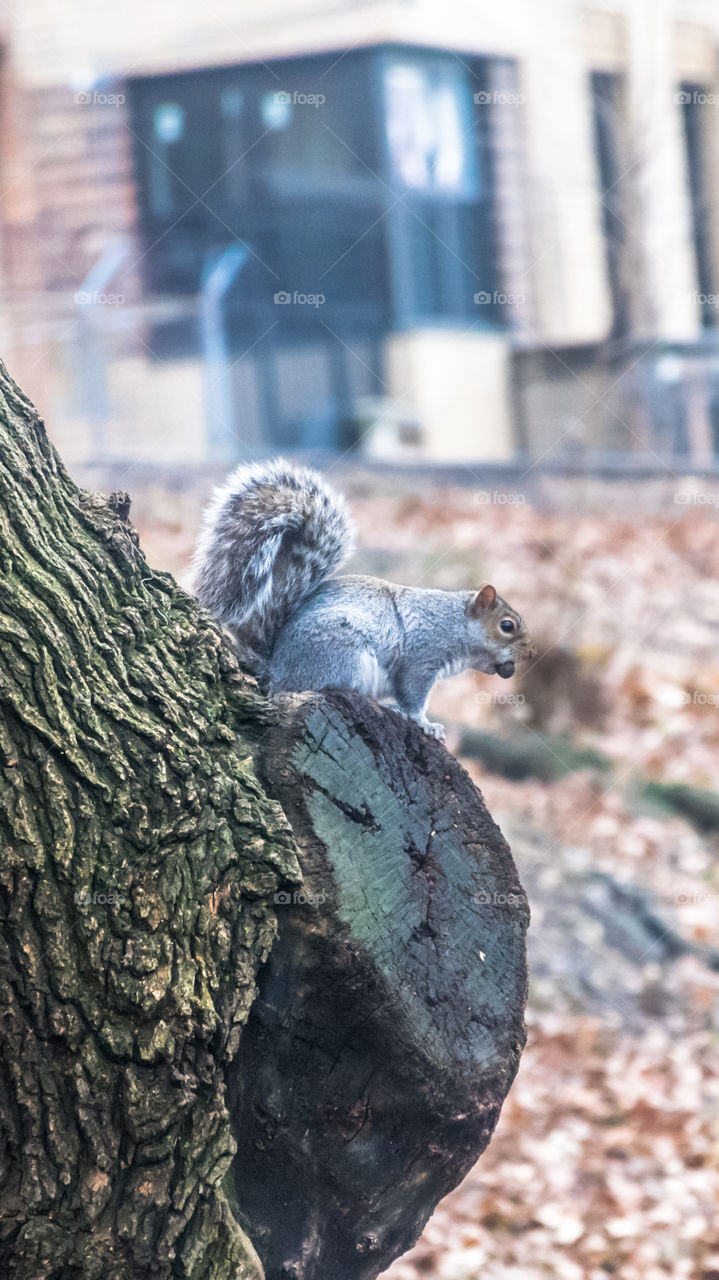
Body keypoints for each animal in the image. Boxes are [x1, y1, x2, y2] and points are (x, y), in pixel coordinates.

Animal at [189, 458, 533, 741]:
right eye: (507, 626)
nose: (531, 653)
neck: (453, 623)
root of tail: (276, 671)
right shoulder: (420, 659)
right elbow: (413, 697)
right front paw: (424, 723)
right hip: (344, 654)